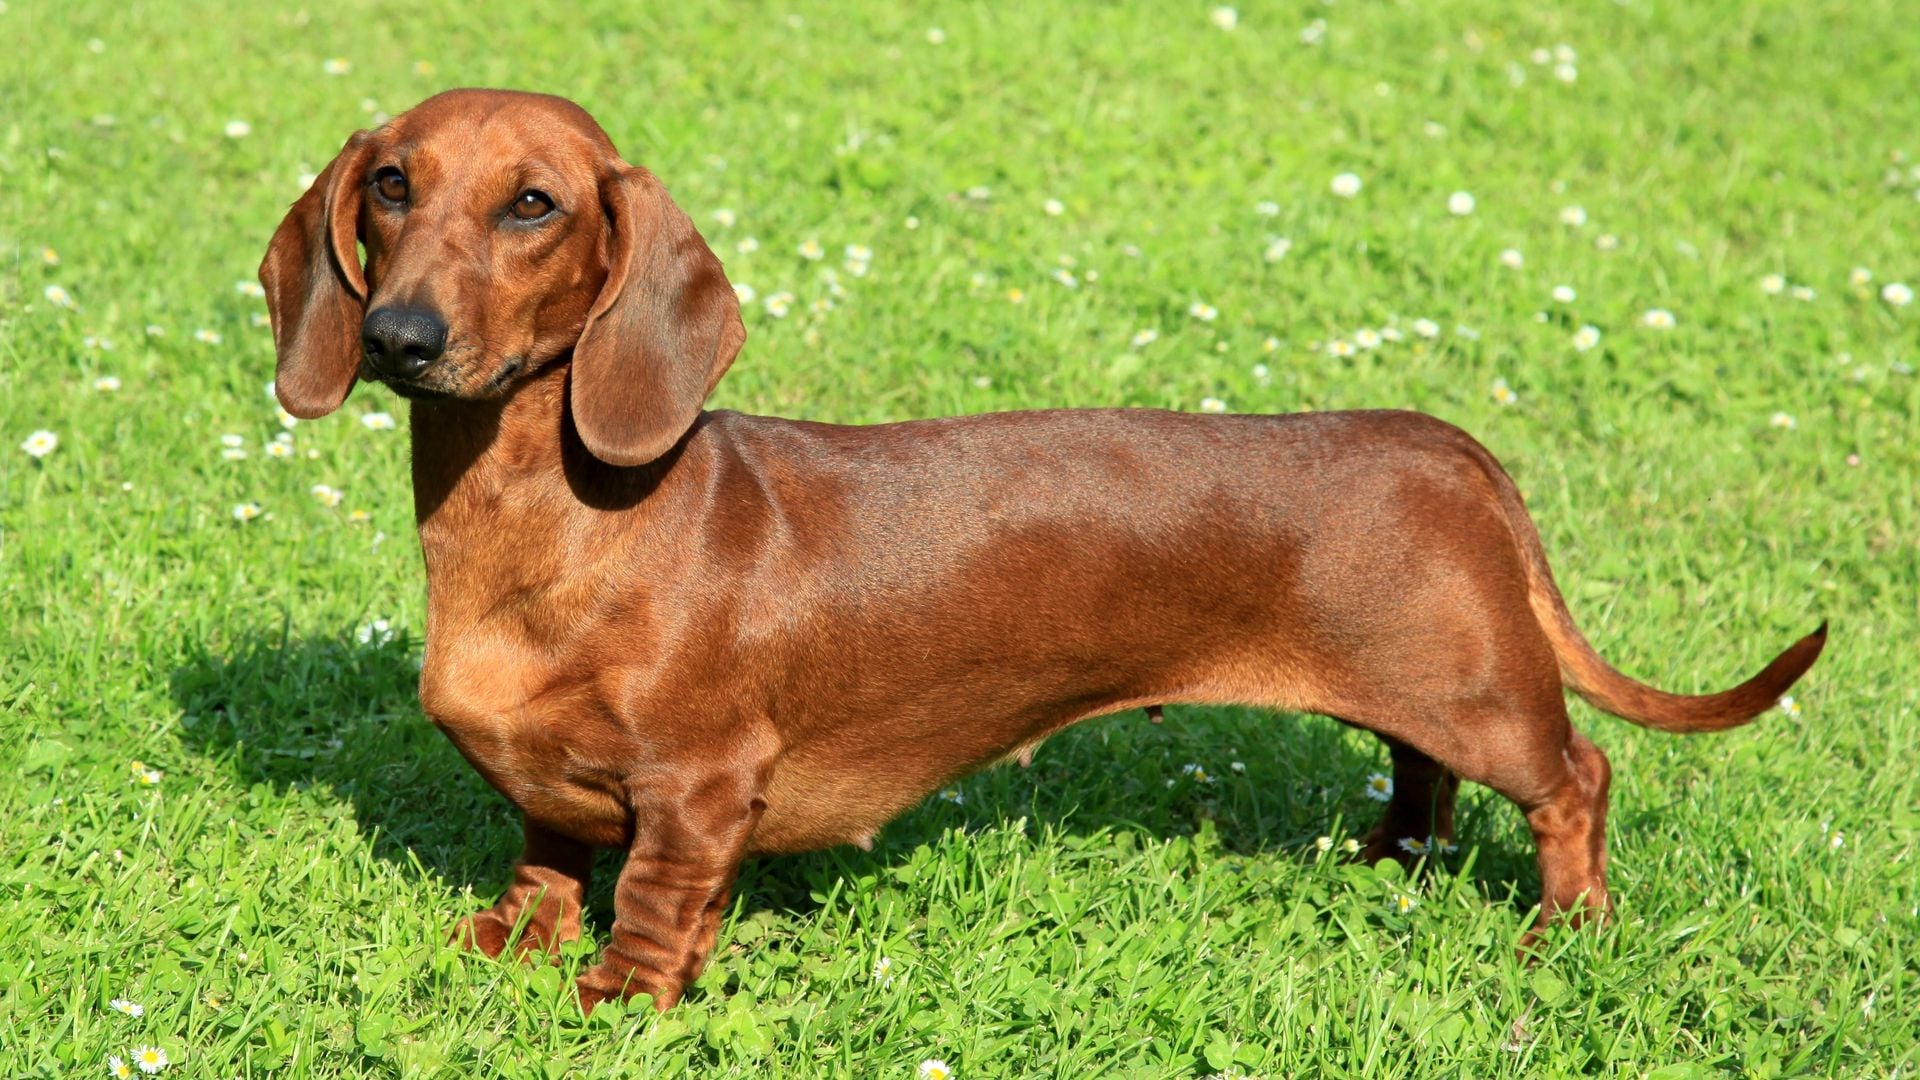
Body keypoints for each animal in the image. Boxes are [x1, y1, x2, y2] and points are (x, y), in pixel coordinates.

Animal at [263, 88, 1820, 1006]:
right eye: (391, 184)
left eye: (534, 203)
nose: (399, 338)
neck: (548, 524)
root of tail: (1452, 446)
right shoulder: (552, 786)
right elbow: (544, 853)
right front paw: (503, 947)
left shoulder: (701, 787)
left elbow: (650, 904)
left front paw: (609, 1003)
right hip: (1418, 691)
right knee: (1419, 775)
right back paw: (1385, 860)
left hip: (1480, 692)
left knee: (1576, 779)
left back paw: (1568, 934)